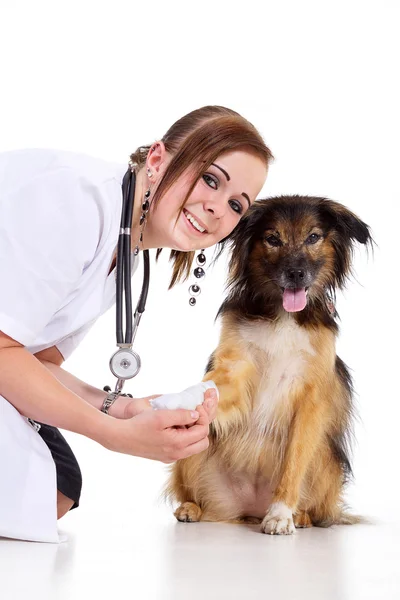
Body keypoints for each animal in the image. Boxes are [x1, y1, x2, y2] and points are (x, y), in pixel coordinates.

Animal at [162, 196, 372, 536]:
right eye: (273, 239)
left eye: (313, 237)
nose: (296, 273)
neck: (283, 315)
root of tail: (250, 508)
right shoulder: (236, 367)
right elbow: (211, 386)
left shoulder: (311, 400)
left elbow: (294, 461)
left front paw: (281, 514)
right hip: (196, 456)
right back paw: (191, 508)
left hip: (327, 460)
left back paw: (300, 517)